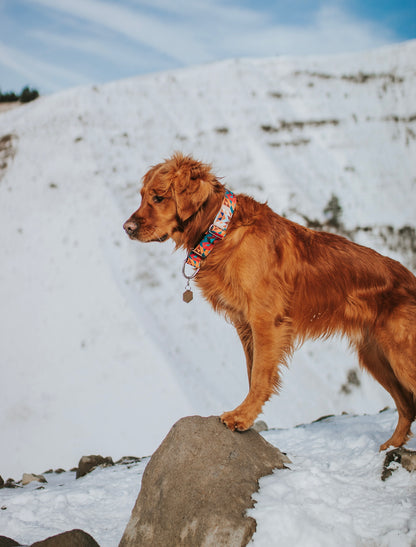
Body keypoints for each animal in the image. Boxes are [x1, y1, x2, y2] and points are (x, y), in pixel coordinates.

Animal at [123, 153, 416, 450]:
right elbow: (252, 372)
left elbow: (260, 375)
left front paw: (242, 417)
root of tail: (410, 278)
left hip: (401, 355)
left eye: (158, 197)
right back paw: (393, 444)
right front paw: (248, 415)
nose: (127, 228)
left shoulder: (266, 321)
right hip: (376, 356)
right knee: (407, 406)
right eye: (141, 196)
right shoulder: (245, 326)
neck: (221, 231)